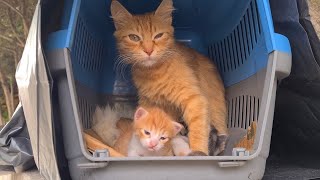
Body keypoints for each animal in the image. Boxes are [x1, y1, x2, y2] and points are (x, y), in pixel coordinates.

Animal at [111, 0, 229, 155]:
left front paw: (198, 152)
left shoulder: (194, 99)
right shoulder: (148, 101)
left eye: (158, 35)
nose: (149, 51)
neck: (153, 73)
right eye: (134, 37)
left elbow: (198, 131)